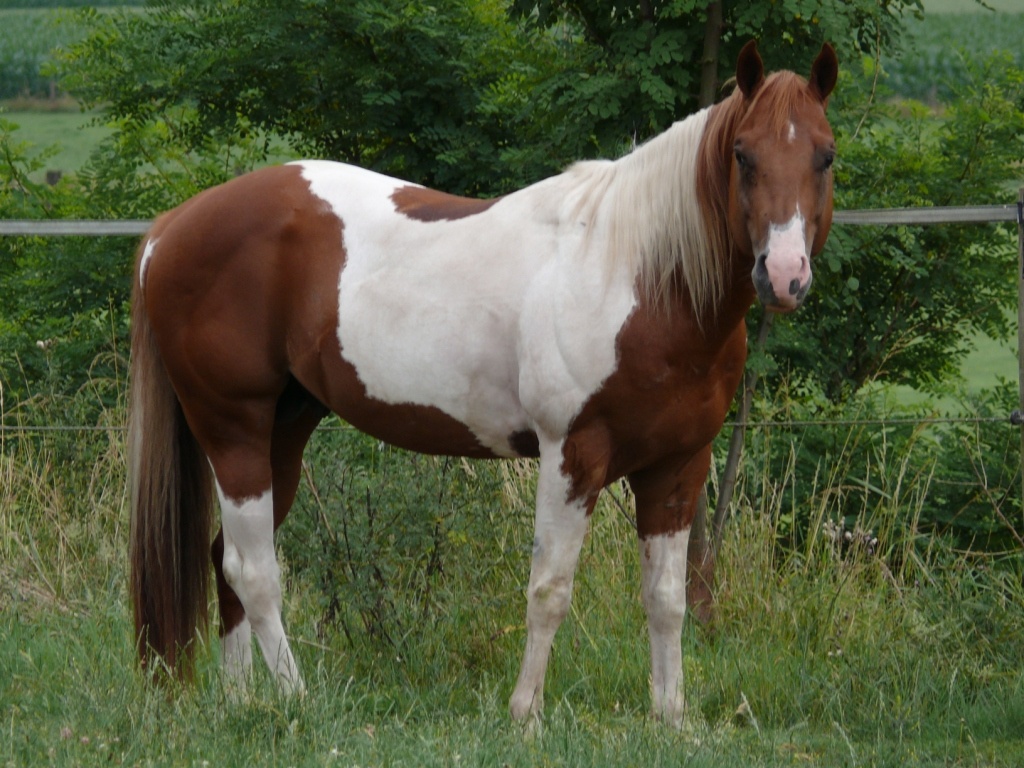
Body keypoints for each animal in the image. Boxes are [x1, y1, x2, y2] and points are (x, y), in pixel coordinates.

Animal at [129, 40, 837, 725]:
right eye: (743, 154)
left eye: (825, 156)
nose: (784, 275)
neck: (640, 276)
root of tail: (168, 228)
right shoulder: (573, 455)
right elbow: (550, 591)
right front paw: (525, 716)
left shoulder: (679, 464)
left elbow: (666, 598)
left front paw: (671, 719)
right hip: (233, 428)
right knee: (252, 570)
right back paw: (297, 700)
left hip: (285, 429)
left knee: (226, 563)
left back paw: (242, 704)